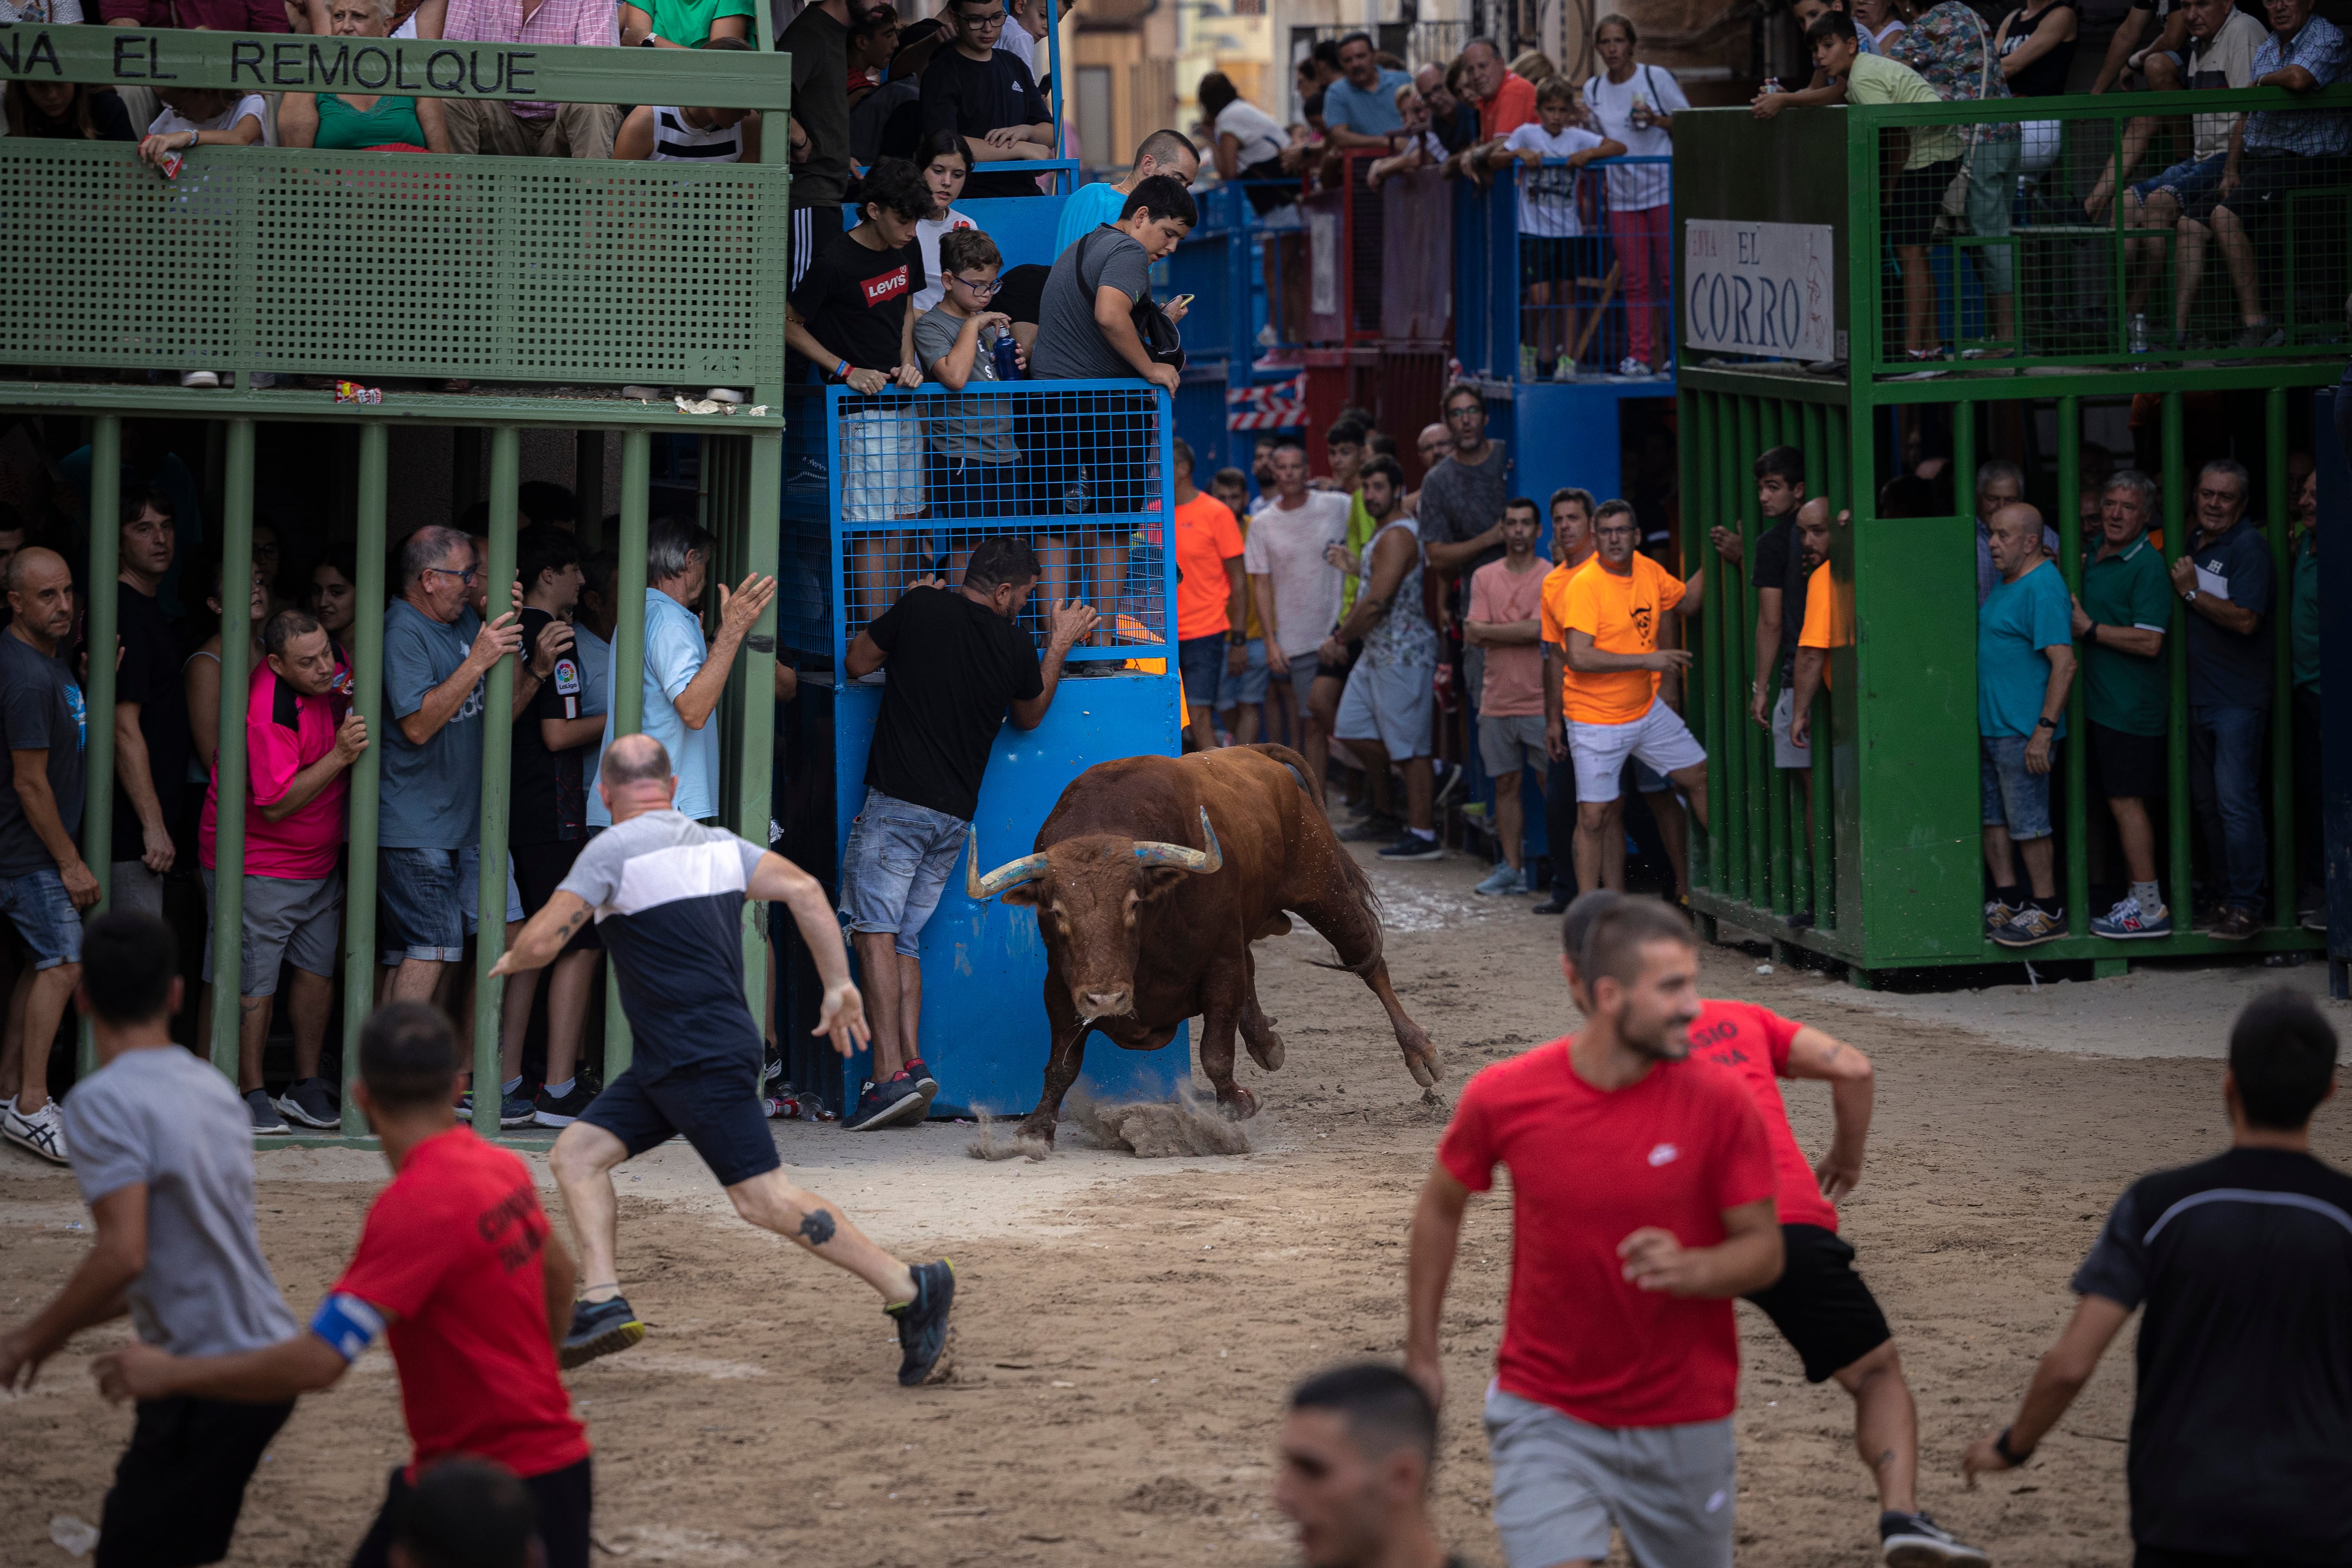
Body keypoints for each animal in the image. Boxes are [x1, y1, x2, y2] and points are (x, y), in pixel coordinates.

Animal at [955, 743, 1430, 1147]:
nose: (1106, 999)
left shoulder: (1220, 965)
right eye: (1056, 912)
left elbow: (1216, 1052)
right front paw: (1036, 1129)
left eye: (1134, 903)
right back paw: (1266, 1042)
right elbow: (1061, 1064)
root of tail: (1257, 754)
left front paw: (1236, 1109)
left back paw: (1422, 1054)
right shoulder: (1060, 984)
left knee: (1368, 961)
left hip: (1324, 888)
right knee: (1258, 963)